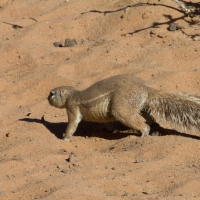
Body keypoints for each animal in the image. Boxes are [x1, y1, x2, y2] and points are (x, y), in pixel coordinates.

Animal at [47, 73, 200, 141]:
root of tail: (145, 88)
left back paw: (143, 133)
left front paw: (64, 138)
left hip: (121, 107)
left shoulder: (72, 108)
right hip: (139, 106)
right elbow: (108, 123)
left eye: (52, 93)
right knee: (149, 118)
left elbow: (72, 125)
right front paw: (111, 131)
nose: (47, 97)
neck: (73, 94)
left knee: (140, 123)